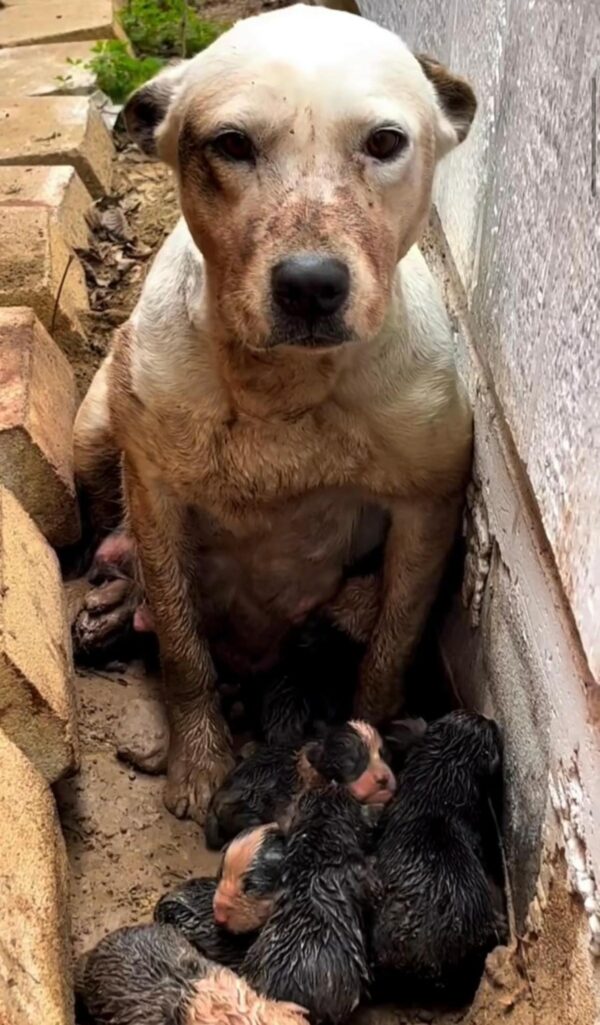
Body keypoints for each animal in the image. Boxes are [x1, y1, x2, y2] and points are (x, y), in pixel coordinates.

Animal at [72, 4, 475, 820]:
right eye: (232, 144)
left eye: (385, 142)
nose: (311, 285)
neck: (282, 389)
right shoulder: (156, 493)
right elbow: (181, 642)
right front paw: (199, 760)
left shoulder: (427, 507)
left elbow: (390, 648)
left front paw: (372, 736)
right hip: (92, 432)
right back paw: (115, 601)